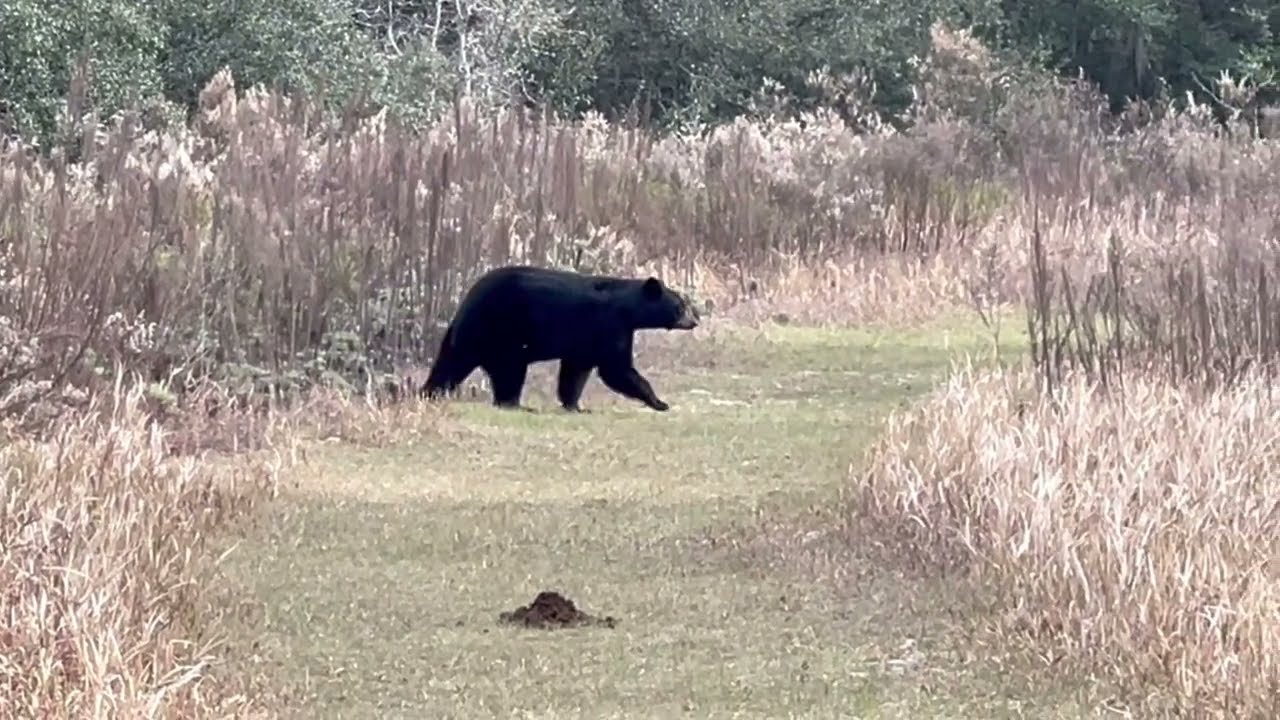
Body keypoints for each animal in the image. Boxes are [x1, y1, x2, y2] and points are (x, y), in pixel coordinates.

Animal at [420, 264, 700, 412]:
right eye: (680, 306)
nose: (694, 321)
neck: (626, 309)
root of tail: (465, 305)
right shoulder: (609, 326)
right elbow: (616, 369)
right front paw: (660, 402)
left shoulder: (589, 339)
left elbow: (576, 371)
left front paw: (575, 405)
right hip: (503, 333)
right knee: (510, 371)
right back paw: (514, 404)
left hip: (469, 338)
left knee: (450, 364)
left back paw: (428, 393)